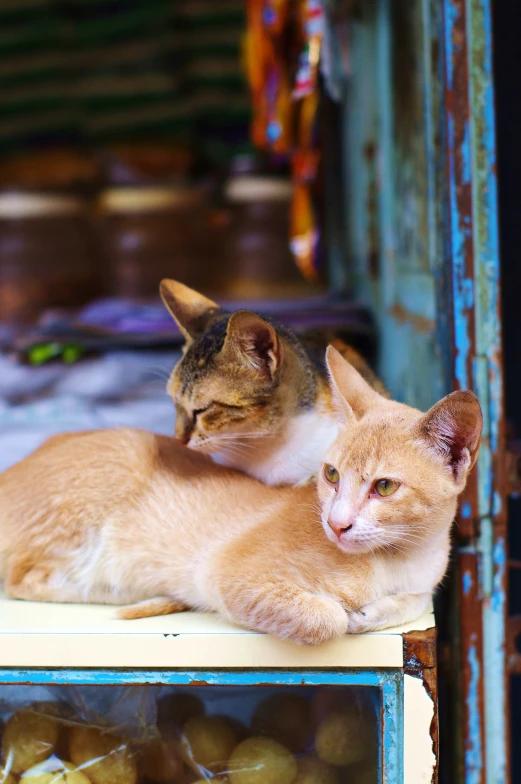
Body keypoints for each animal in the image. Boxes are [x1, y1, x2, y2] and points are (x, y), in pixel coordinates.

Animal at [0, 350, 482, 644]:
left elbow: (415, 602)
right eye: (331, 474)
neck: (397, 558)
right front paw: (345, 613)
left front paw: (375, 613)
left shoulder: (422, 583)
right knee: (22, 579)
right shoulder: (229, 573)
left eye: (384, 487)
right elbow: (326, 619)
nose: (336, 523)